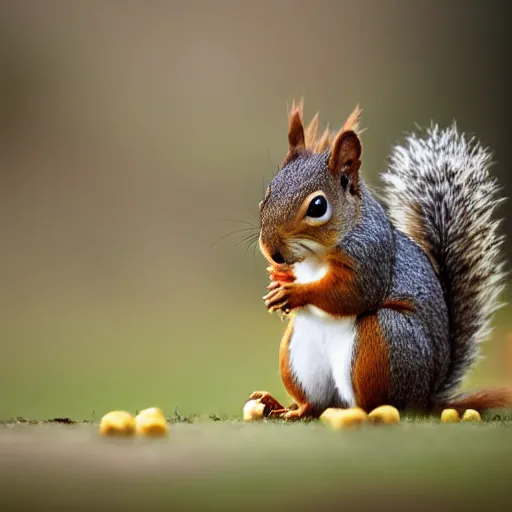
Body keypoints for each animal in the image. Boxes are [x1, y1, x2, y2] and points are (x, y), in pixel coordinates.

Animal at [247, 100, 508, 420]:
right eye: (268, 193)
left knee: (374, 403)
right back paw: (284, 407)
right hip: (299, 356)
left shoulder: (371, 256)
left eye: (318, 206)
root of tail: (425, 399)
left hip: (384, 341)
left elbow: (351, 293)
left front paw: (295, 293)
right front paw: (279, 280)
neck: (316, 255)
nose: (272, 251)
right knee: (315, 404)